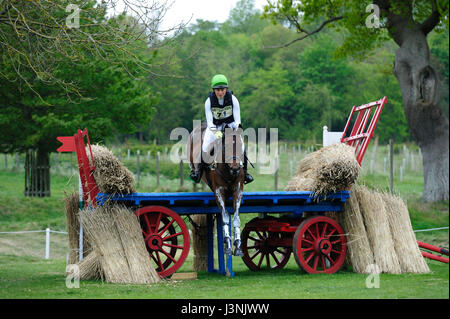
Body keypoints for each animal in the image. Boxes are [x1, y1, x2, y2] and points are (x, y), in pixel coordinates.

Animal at [187, 122, 246, 258]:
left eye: (241, 146)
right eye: (226, 147)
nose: (235, 168)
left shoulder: (238, 191)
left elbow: (236, 218)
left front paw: (238, 246)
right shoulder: (219, 192)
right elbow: (224, 217)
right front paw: (228, 246)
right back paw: (195, 172)